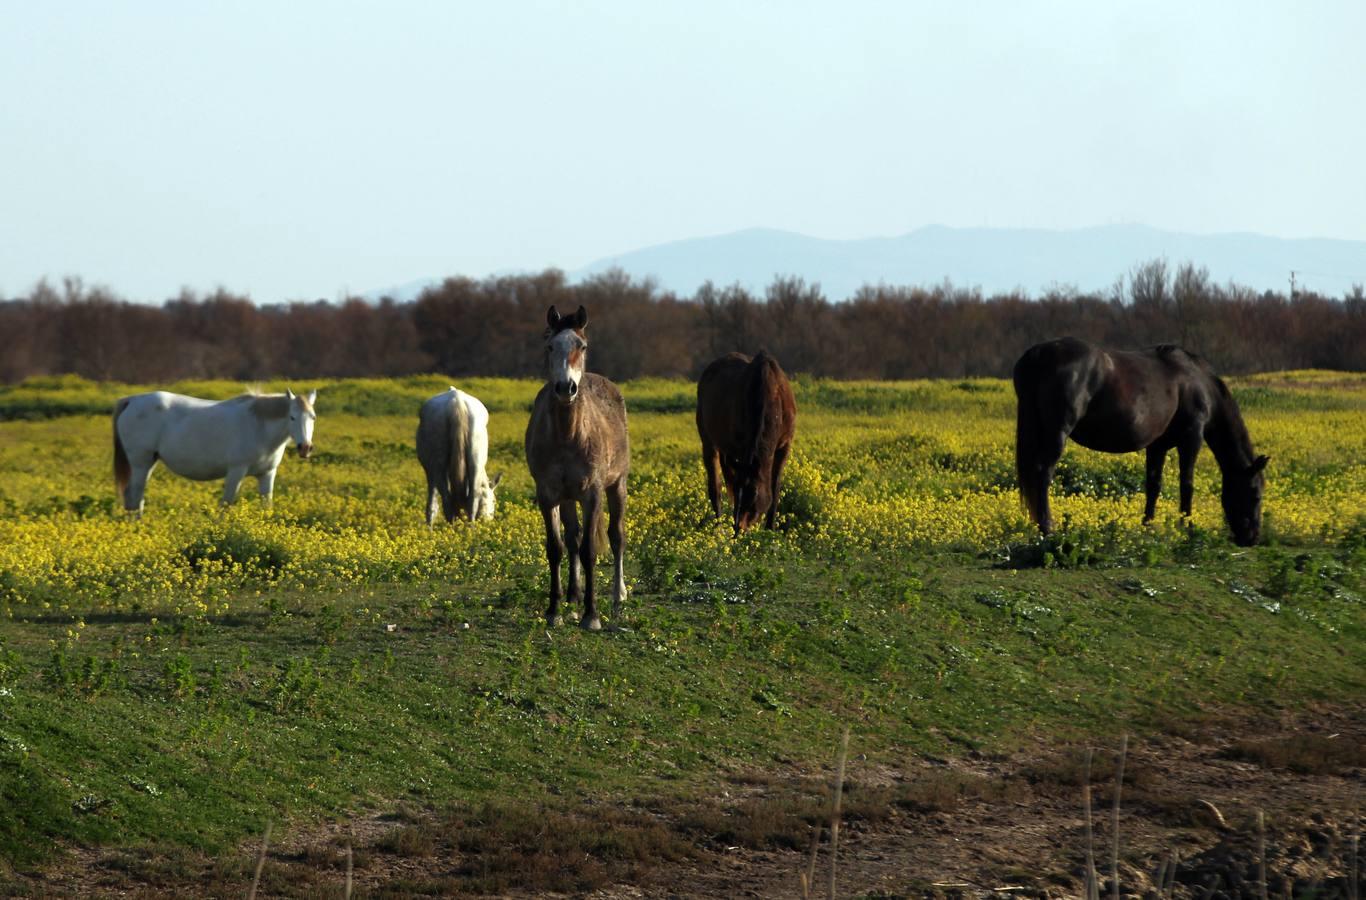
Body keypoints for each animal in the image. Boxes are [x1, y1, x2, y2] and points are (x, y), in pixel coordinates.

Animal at [114, 387, 316, 513]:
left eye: (313, 417)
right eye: (292, 417)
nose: (305, 448)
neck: (259, 426)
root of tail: (132, 400)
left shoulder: (267, 474)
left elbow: (267, 505)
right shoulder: (236, 471)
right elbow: (226, 504)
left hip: (149, 462)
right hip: (141, 463)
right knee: (135, 496)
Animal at [417, 385, 505, 524]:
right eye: (494, 501)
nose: (487, 522)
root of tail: (456, 402)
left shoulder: (430, 471)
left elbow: (432, 504)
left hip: (438, 465)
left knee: (446, 500)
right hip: (475, 459)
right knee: (472, 498)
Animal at [521, 305, 628, 630]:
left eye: (582, 346)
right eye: (550, 346)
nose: (565, 388)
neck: (569, 435)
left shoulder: (592, 494)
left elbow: (590, 549)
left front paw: (592, 616)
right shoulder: (548, 494)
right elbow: (556, 547)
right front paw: (554, 610)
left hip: (617, 485)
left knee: (616, 536)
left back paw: (618, 596)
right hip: (568, 497)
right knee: (572, 537)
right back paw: (573, 596)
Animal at [699, 349, 797, 535]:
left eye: (754, 493)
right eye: (740, 491)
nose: (738, 529)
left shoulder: (784, 446)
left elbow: (775, 487)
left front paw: (770, 529)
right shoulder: (740, 449)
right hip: (708, 442)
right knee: (715, 487)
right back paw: (719, 527)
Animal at [1016, 338, 1267, 546]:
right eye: (1255, 494)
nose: (1252, 538)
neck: (1198, 382)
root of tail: (1039, 353)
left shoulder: (1157, 445)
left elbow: (1153, 485)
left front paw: (1147, 527)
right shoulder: (1191, 438)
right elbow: (1187, 485)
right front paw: (1187, 528)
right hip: (1057, 432)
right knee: (1043, 473)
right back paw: (1047, 529)